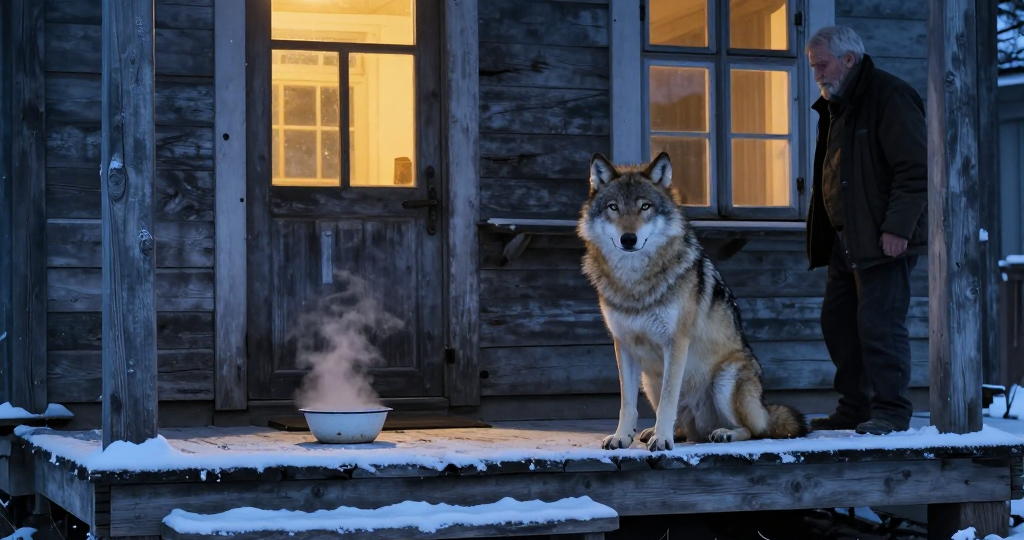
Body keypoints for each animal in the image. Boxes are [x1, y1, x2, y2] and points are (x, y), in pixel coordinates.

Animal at [577, 151, 809, 451]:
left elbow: (668, 400)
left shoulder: (676, 342)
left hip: (726, 378)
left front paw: (662, 440)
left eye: (645, 207)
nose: (628, 239)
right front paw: (622, 437)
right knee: (684, 424)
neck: (635, 282)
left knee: (755, 430)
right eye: (614, 208)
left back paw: (722, 433)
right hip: (648, 380)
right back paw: (661, 432)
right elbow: (627, 403)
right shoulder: (624, 345)